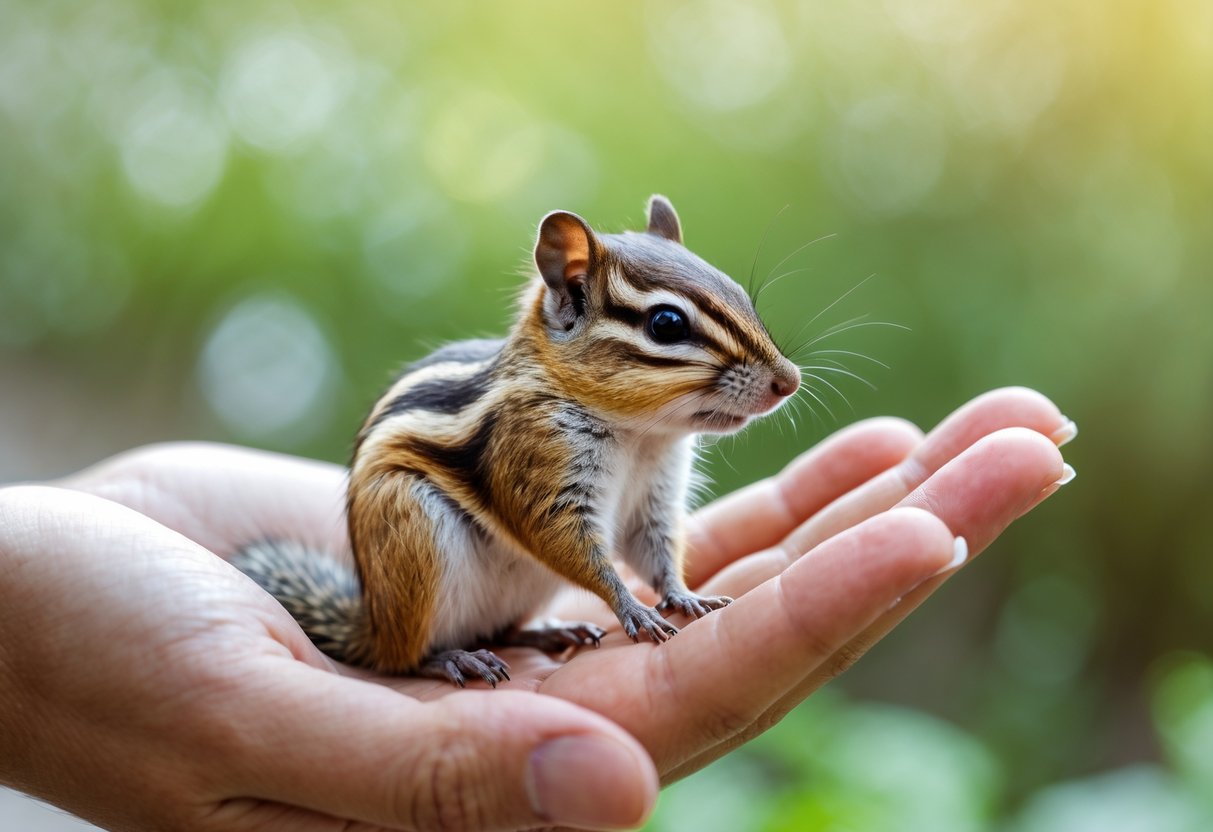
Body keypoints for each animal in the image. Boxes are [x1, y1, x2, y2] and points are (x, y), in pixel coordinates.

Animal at [232, 195, 801, 687]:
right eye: (666, 323)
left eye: (740, 294)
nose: (789, 380)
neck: (641, 435)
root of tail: (370, 625)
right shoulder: (537, 463)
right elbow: (571, 548)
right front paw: (633, 608)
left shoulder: (654, 496)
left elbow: (655, 550)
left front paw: (685, 596)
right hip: (413, 532)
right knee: (403, 658)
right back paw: (453, 659)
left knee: (500, 630)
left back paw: (549, 632)